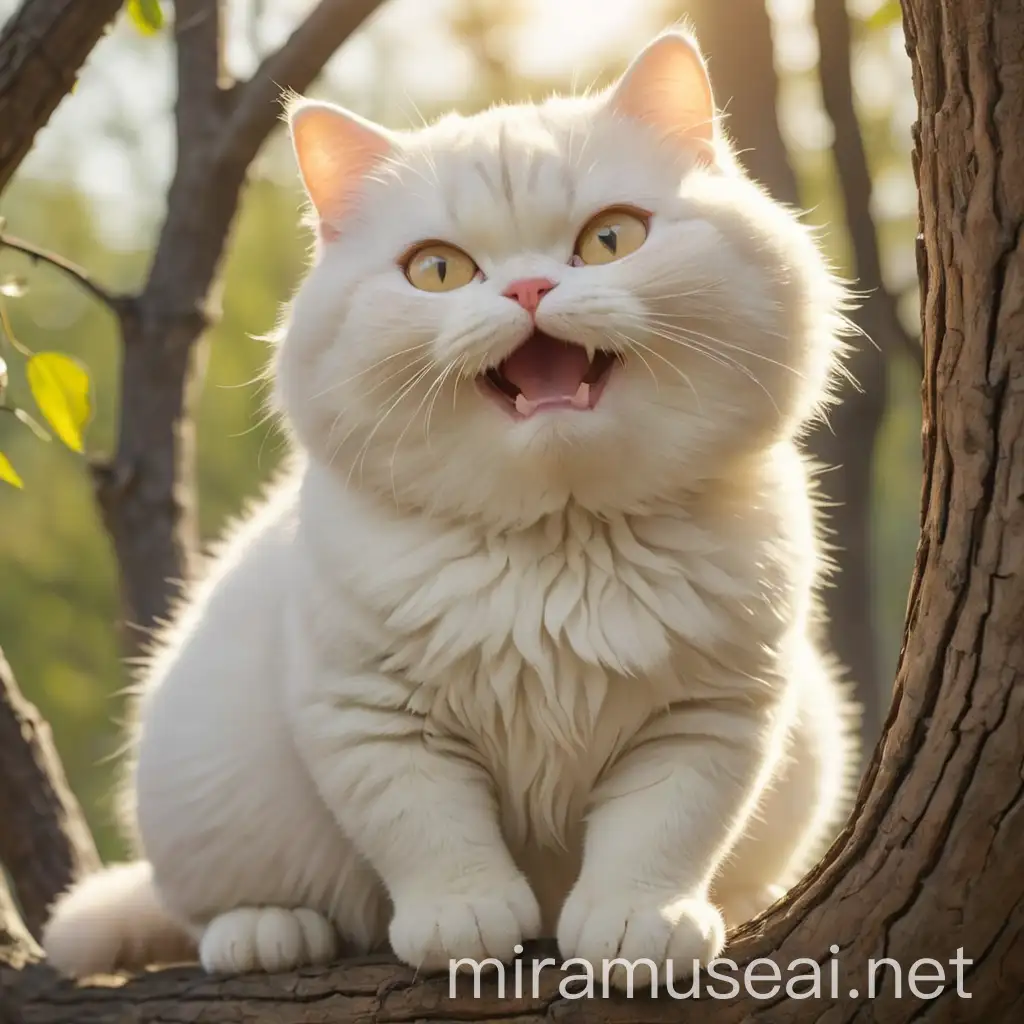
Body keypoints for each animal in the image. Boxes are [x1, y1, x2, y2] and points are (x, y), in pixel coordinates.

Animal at [39, 34, 860, 991]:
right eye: (439, 270)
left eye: (610, 238)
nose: (530, 288)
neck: (561, 543)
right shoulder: (372, 715)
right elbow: (430, 830)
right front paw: (464, 922)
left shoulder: (712, 714)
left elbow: (661, 829)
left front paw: (637, 926)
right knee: (204, 909)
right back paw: (268, 932)